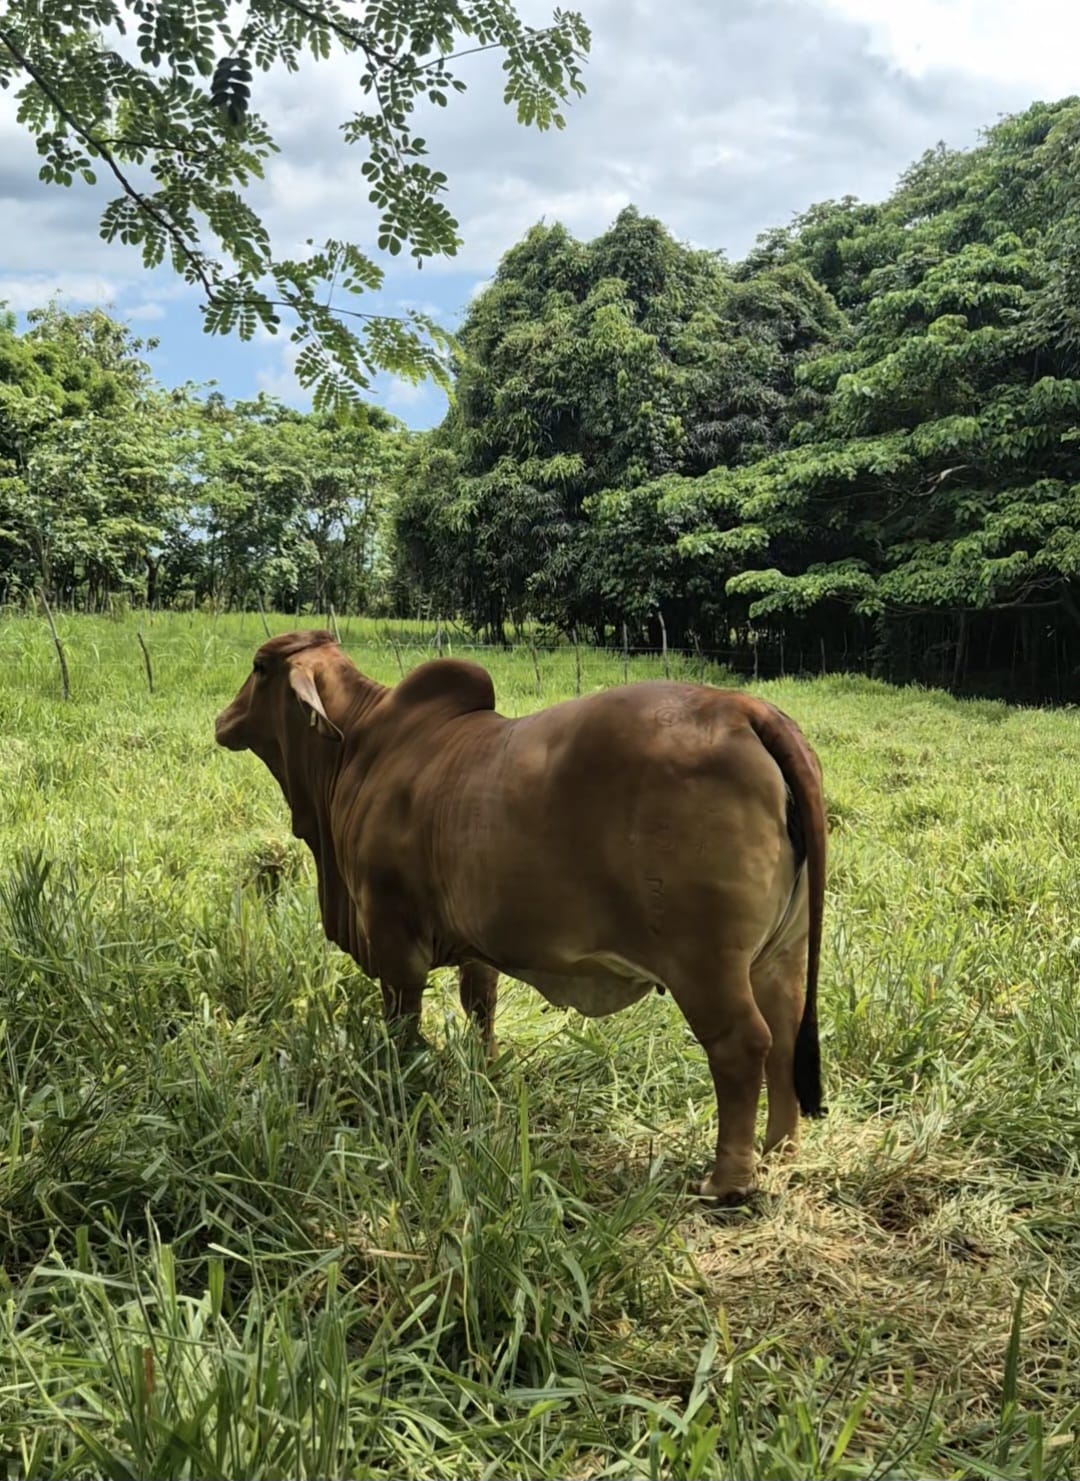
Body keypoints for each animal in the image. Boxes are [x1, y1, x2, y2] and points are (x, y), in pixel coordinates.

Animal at [214, 630, 827, 1201]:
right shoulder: (474, 941)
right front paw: (487, 1072)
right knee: (785, 1034)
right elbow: (480, 1006)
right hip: (781, 953)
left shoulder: (392, 936)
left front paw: (402, 1087)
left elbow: (403, 1024)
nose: (222, 719)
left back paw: (728, 1181)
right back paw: (780, 1148)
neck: (358, 748)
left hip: (704, 965)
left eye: (259, 667)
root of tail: (745, 710)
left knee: (742, 1045)